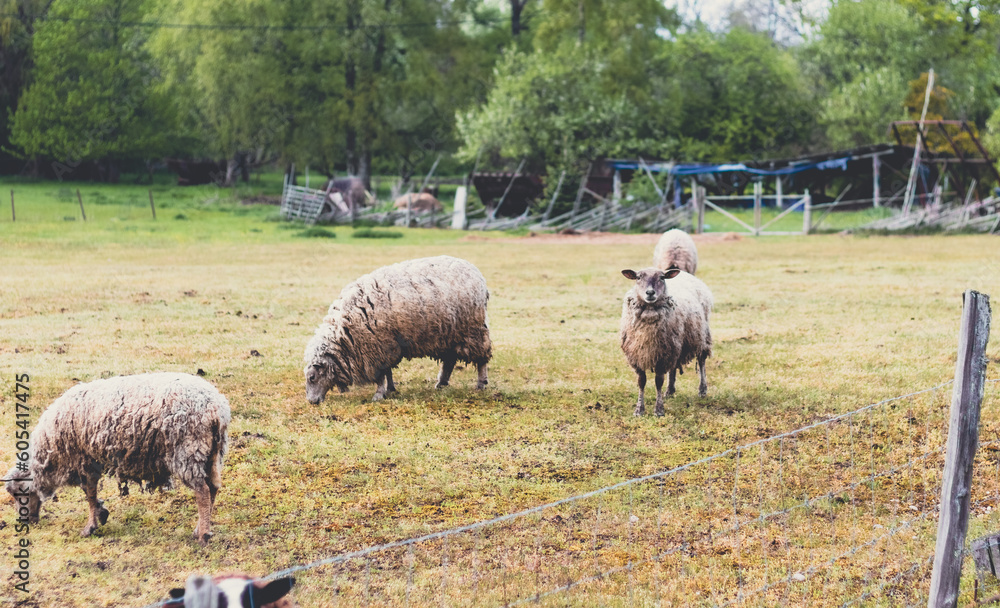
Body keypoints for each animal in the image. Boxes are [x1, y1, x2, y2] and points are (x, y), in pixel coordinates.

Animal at [4, 372, 230, 544]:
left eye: (17, 494)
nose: (24, 523)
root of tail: (215, 408)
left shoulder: (85, 460)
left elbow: (89, 493)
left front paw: (91, 525)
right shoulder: (90, 461)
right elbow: (90, 493)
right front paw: (100, 514)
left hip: (187, 451)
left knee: (202, 491)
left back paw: (203, 535)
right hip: (212, 453)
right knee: (213, 488)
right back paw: (201, 528)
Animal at [304, 255, 492, 403]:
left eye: (312, 377)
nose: (312, 402)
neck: (345, 334)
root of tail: (476, 273)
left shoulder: (376, 348)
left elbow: (380, 375)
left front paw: (379, 394)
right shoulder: (386, 344)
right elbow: (387, 371)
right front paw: (390, 389)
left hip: (473, 329)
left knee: (481, 358)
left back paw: (481, 384)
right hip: (450, 333)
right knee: (450, 360)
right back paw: (441, 383)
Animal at [619, 267, 713, 416]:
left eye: (662, 278)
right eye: (638, 277)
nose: (650, 292)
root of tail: (684, 273)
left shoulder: (662, 356)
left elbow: (658, 381)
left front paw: (659, 410)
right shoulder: (637, 355)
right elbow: (641, 381)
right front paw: (639, 410)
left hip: (701, 336)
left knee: (702, 361)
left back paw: (702, 390)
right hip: (674, 344)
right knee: (673, 367)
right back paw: (669, 391)